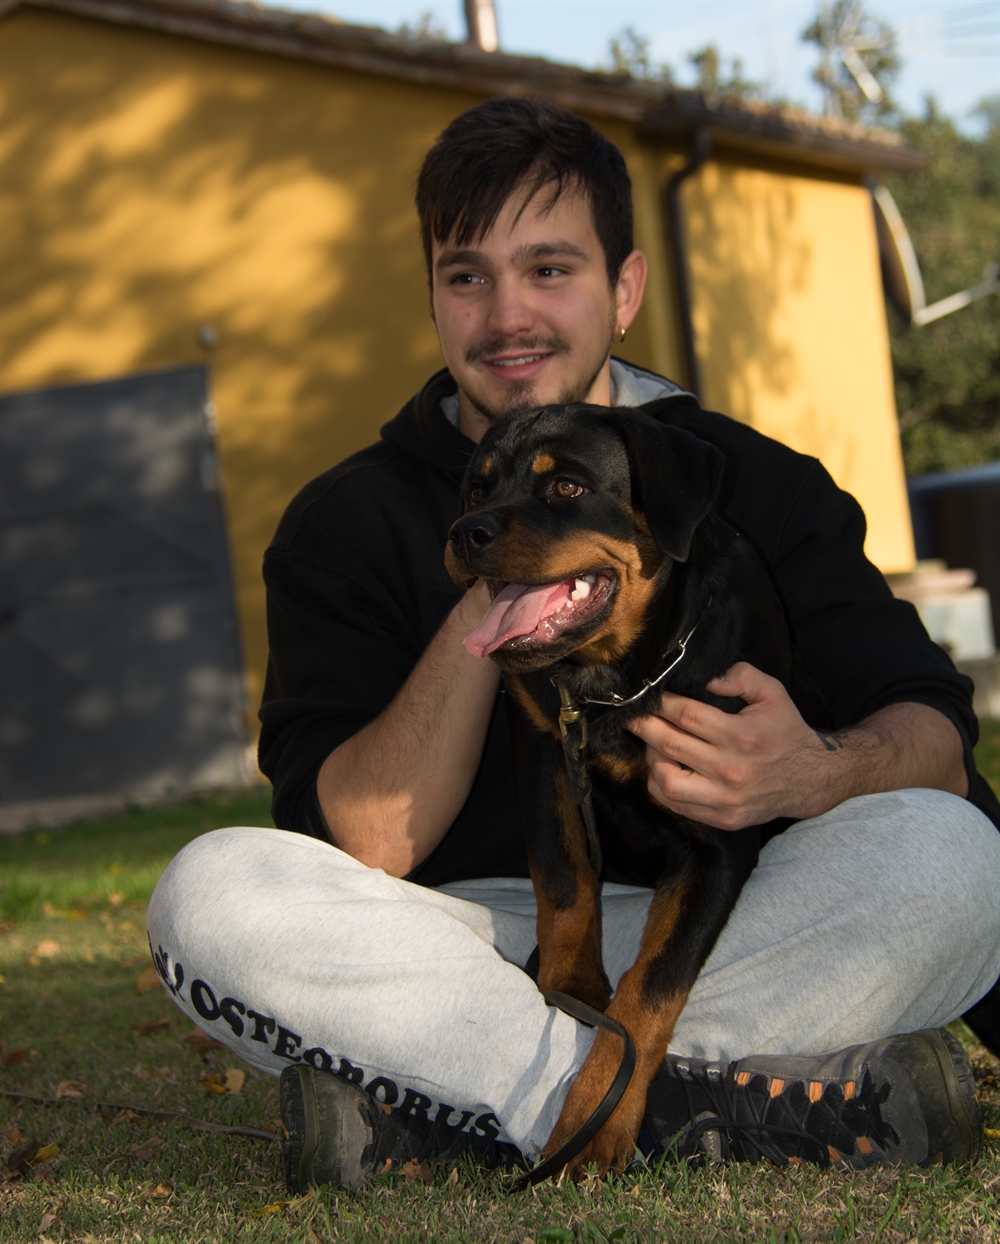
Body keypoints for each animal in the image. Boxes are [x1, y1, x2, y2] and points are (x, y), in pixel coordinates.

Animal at [445, 402, 796, 1179]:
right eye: (477, 488)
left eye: (567, 488)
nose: (465, 531)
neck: (610, 686)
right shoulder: (543, 750)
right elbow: (564, 879)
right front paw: (570, 986)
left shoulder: (720, 839)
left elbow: (651, 988)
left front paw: (596, 1123)